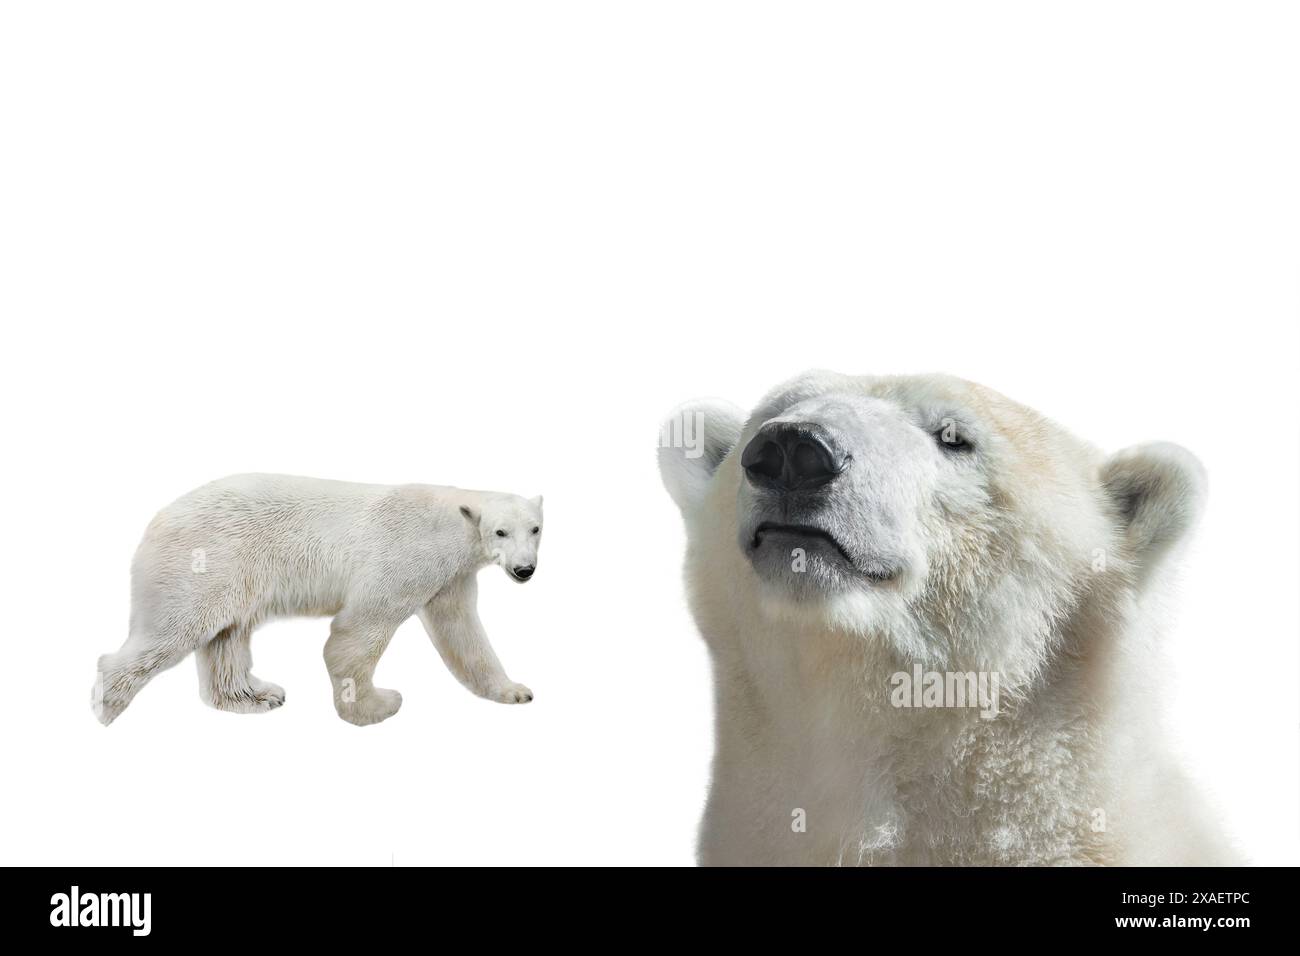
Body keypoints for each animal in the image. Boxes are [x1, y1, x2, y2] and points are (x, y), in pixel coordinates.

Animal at [93, 474, 543, 726]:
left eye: (535, 528)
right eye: (500, 531)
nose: (525, 570)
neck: (451, 525)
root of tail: (157, 518)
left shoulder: (452, 576)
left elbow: (463, 634)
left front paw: (515, 691)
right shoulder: (409, 555)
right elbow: (357, 630)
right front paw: (378, 705)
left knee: (228, 636)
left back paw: (258, 696)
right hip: (203, 562)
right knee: (173, 630)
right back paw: (105, 709)